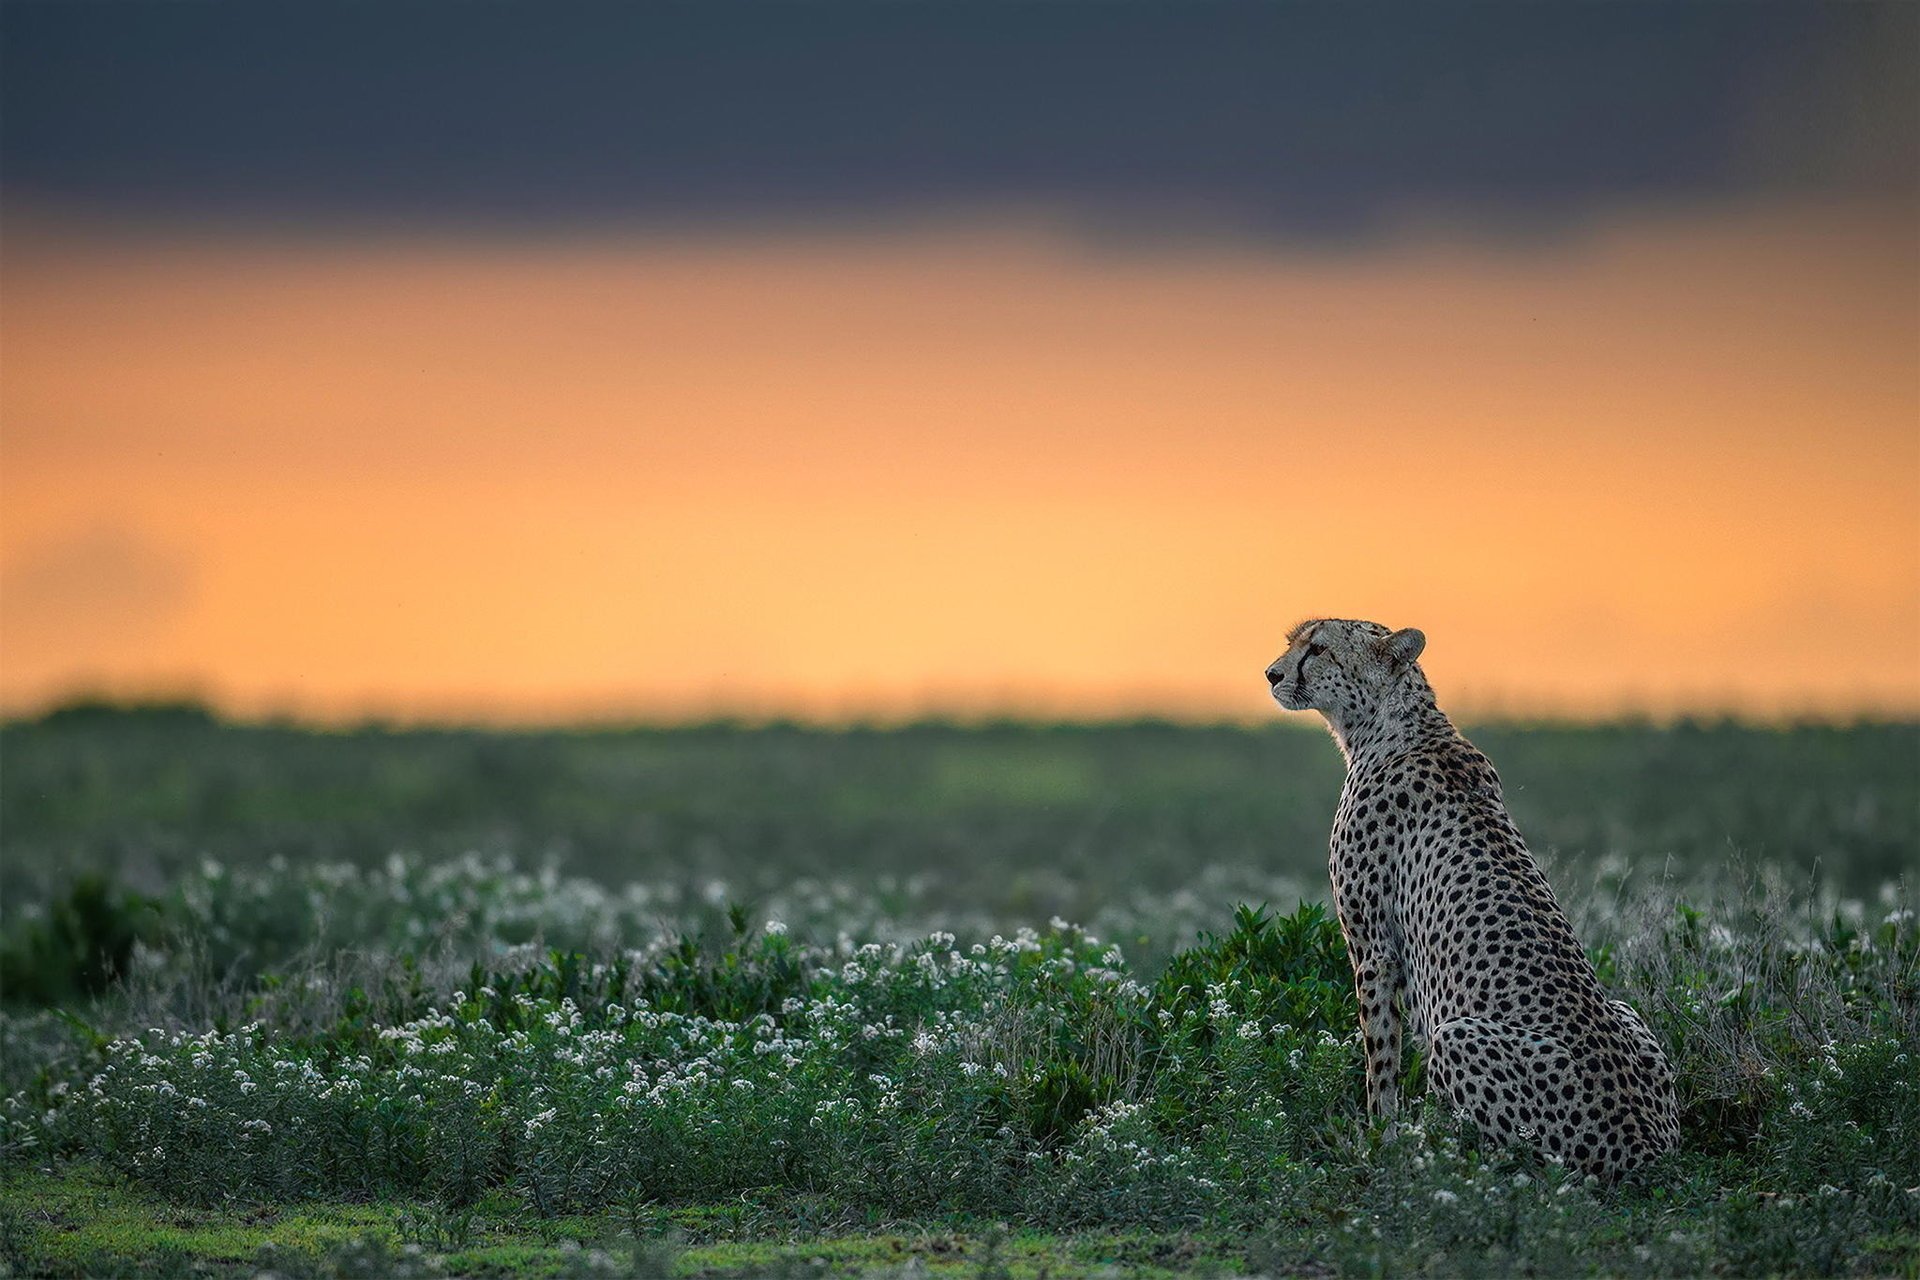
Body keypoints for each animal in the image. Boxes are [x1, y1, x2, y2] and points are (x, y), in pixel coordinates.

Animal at [1267, 621, 1674, 1182]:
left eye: (1319, 648)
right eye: (1294, 641)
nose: (1272, 674)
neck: (1395, 723)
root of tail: (1650, 1149)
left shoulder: (1372, 949)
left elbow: (1380, 1058)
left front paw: (1379, 1143)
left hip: (1457, 1036)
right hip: (1626, 1010)